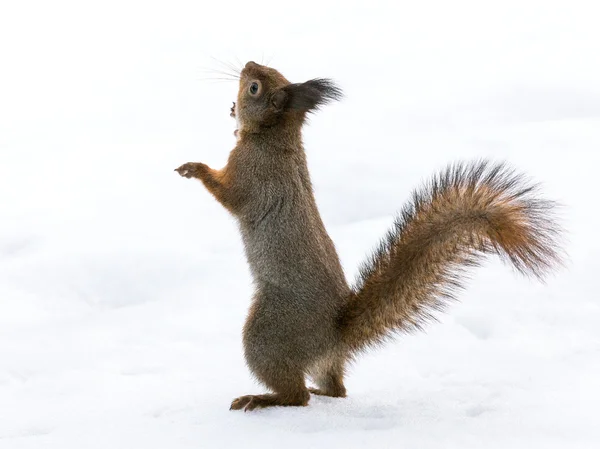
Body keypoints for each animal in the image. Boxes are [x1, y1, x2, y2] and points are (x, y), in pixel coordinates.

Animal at [175, 61, 564, 412]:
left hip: (268, 333)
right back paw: (321, 391)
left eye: (255, 87)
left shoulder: (252, 176)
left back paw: (263, 398)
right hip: (314, 359)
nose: (247, 64)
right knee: (336, 388)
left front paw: (196, 169)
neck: (276, 135)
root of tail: (335, 334)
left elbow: (230, 195)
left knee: (295, 395)